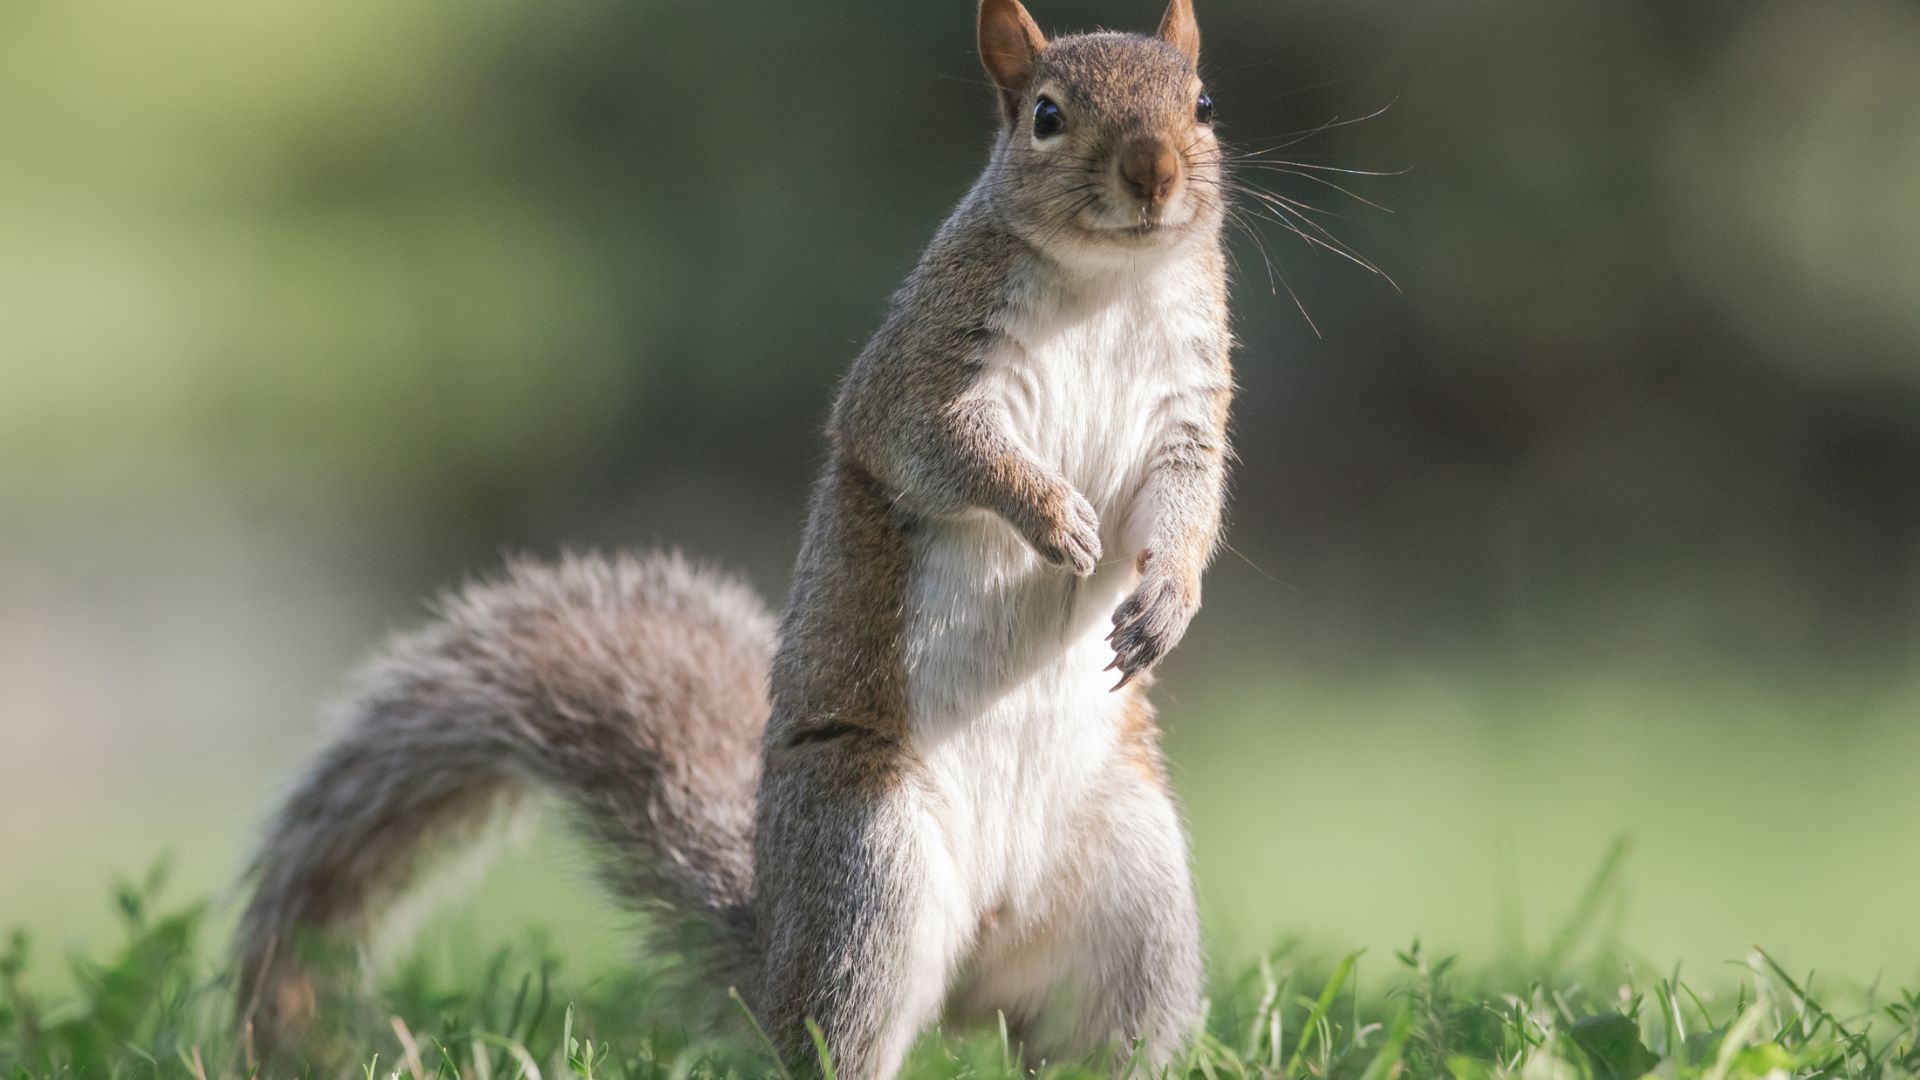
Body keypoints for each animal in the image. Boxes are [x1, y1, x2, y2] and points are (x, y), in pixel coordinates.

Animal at [236, 4, 1228, 1068]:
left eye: (1203, 103)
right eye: (1047, 115)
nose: (1154, 173)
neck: (1107, 281)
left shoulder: (1187, 407)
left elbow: (1186, 505)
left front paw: (1167, 600)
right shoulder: (919, 375)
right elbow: (940, 450)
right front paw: (1053, 517)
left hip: (1135, 898)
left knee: (1106, 1032)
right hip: (867, 874)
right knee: (838, 1034)